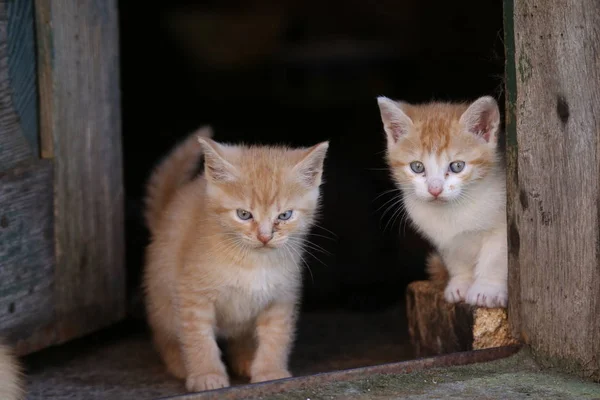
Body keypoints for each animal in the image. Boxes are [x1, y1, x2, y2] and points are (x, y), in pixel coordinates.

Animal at [144, 127, 330, 390]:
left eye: (284, 215)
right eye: (244, 214)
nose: (265, 236)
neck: (252, 262)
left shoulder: (281, 297)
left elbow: (276, 337)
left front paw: (270, 371)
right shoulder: (192, 296)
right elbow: (198, 338)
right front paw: (207, 374)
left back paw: (244, 359)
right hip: (163, 296)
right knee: (165, 334)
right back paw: (178, 363)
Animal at [380, 97, 506, 310]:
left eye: (457, 166)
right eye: (417, 167)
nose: (435, 189)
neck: (453, 210)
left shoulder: (503, 227)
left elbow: (495, 258)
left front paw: (486, 290)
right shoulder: (444, 239)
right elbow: (456, 259)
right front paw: (460, 284)